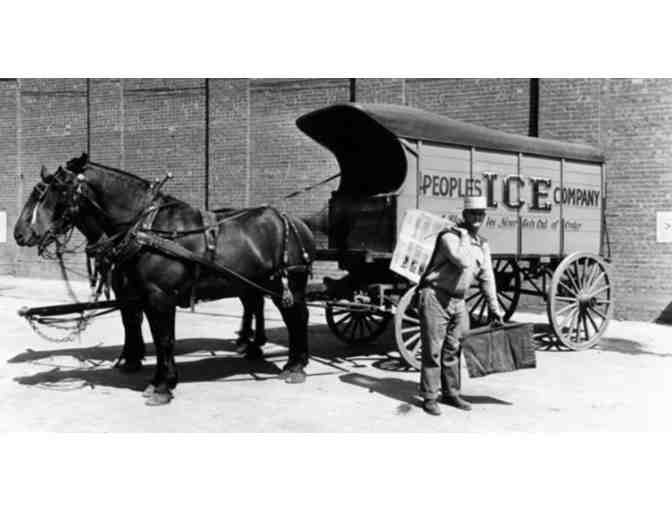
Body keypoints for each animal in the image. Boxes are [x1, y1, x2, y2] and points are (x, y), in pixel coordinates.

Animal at [13, 153, 316, 404]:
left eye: (57, 189)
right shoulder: (142, 296)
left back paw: (295, 365)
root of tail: (294, 221)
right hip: (262, 283)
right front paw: (149, 372)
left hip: (290, 282)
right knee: (272, 311)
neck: (145, 229)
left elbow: (163, 339)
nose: (20, 233)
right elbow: (145, 330)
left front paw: (162, 386)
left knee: (297, 318)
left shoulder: (159, 297)